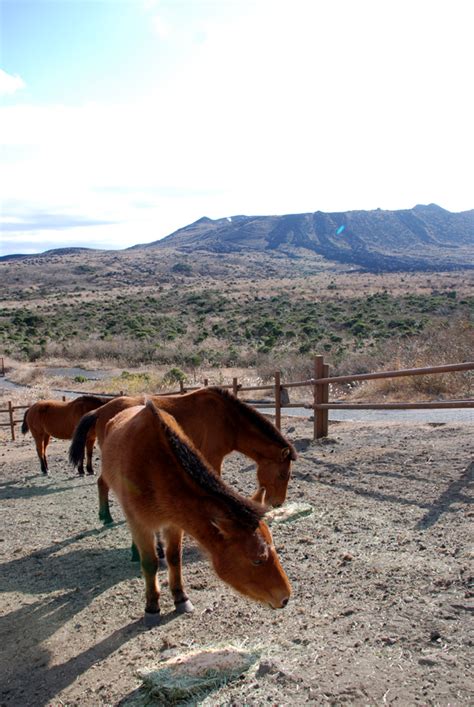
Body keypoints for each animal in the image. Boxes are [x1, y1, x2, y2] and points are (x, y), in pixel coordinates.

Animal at [68, 388, 296, 524]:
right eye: (283, 475)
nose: (278, 503)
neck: (229, 420)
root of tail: (100, 410)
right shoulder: (213, 457)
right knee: (103, 482)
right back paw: (106, 517)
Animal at [100, 402, 292, 628]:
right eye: (257, 560)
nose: (285, 597)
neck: (154, 468)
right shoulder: (140, 524)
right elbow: (149, 563)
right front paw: (152, 607)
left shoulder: (175, 522)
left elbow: (175, 557)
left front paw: (180, 598)